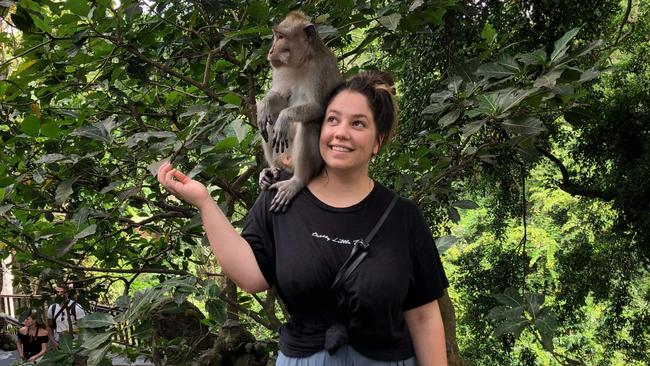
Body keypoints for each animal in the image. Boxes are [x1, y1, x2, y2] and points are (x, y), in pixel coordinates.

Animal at [256, 11, 342, 213]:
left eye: (281, 37)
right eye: (276, 36)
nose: (270, 51)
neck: (302, 62)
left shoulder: (321, 67)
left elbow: (318, 108)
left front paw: (285, 117)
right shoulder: (279, 70)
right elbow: (279, 97)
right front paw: (264, 105)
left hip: (315, 163)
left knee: (308, 123)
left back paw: (297, 181)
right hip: (283, 154)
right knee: (268, 124)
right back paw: (271, 169)